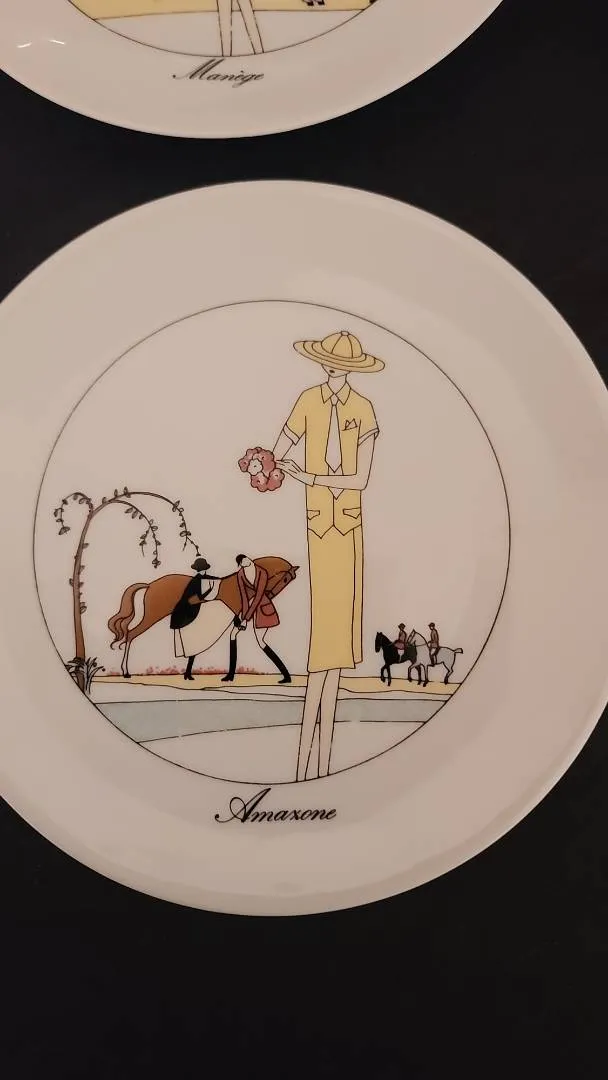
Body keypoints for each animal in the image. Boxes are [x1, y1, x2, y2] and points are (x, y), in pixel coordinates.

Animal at [108, 557, 298, 679]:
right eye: (286, 579)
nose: (270, 595)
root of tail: (150, 585)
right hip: (151, 616)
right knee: (131, 634)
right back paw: (125, 672)